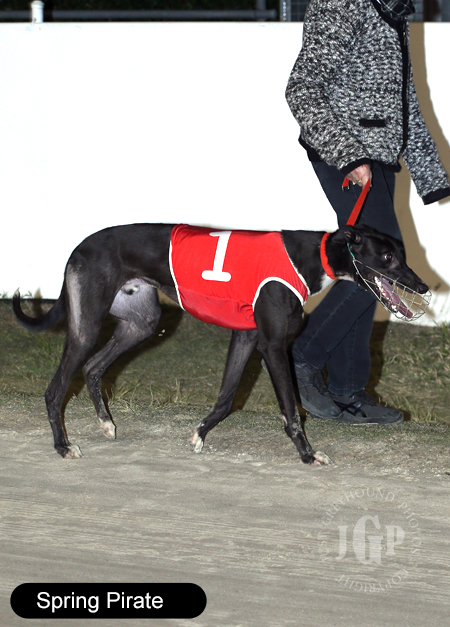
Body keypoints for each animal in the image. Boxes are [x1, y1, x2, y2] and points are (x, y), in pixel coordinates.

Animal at [13, 223, 429, 465]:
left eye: (403, 254)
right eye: (387, 256)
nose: (424, 286)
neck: (312, 255)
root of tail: (79, 246)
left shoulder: (246, 335)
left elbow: (228, 397)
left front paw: (200, 433)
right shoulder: (273, 345)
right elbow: (291, 410)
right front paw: (308, 455)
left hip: (140, 323)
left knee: (93, 367)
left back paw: (106, 424)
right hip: (87, 327)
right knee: (56, 389)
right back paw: (62, 445)